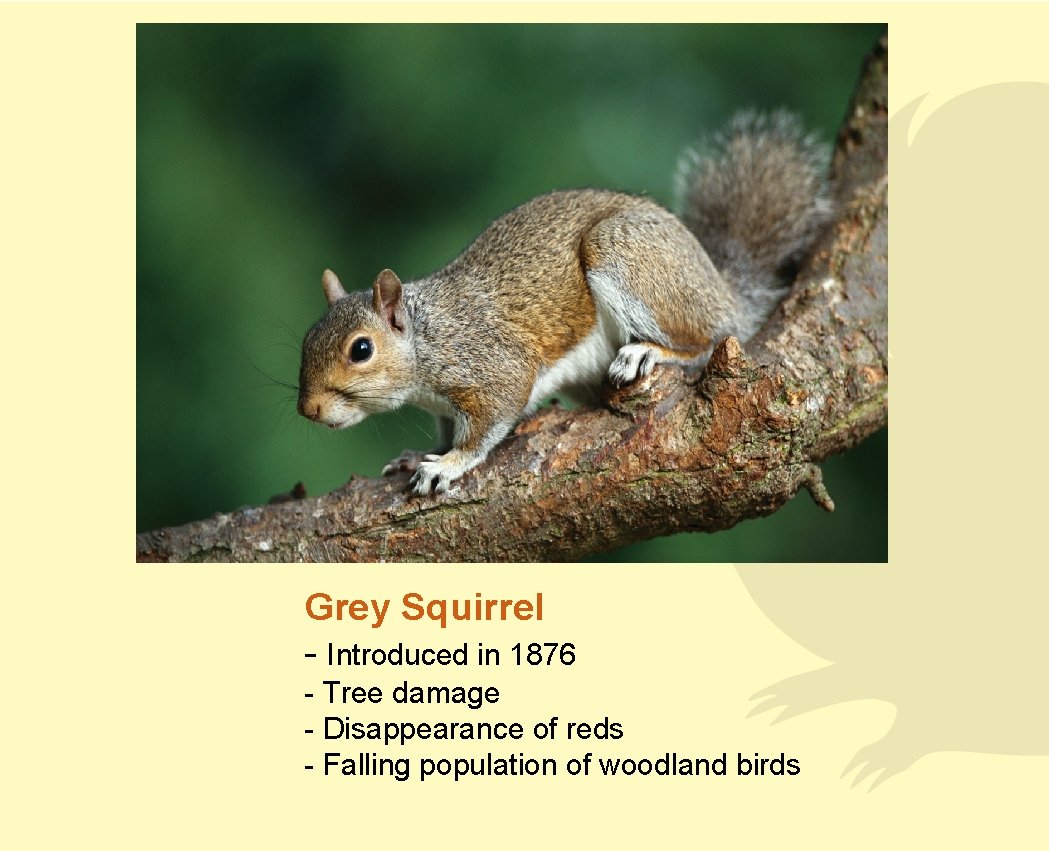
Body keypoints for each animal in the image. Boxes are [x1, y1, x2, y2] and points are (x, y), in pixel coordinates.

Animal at [298, 110, 832, 496]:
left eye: (361, 350)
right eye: (305, 340)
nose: (308, 410)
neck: (428, 337)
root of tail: (720, 289)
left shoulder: (494, 367)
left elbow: (488, 424)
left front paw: (448, 465)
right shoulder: (445, 405)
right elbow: (449, 429)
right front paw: (420, 454)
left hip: (625, 256)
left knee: (704, 341)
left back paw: (648, 351)